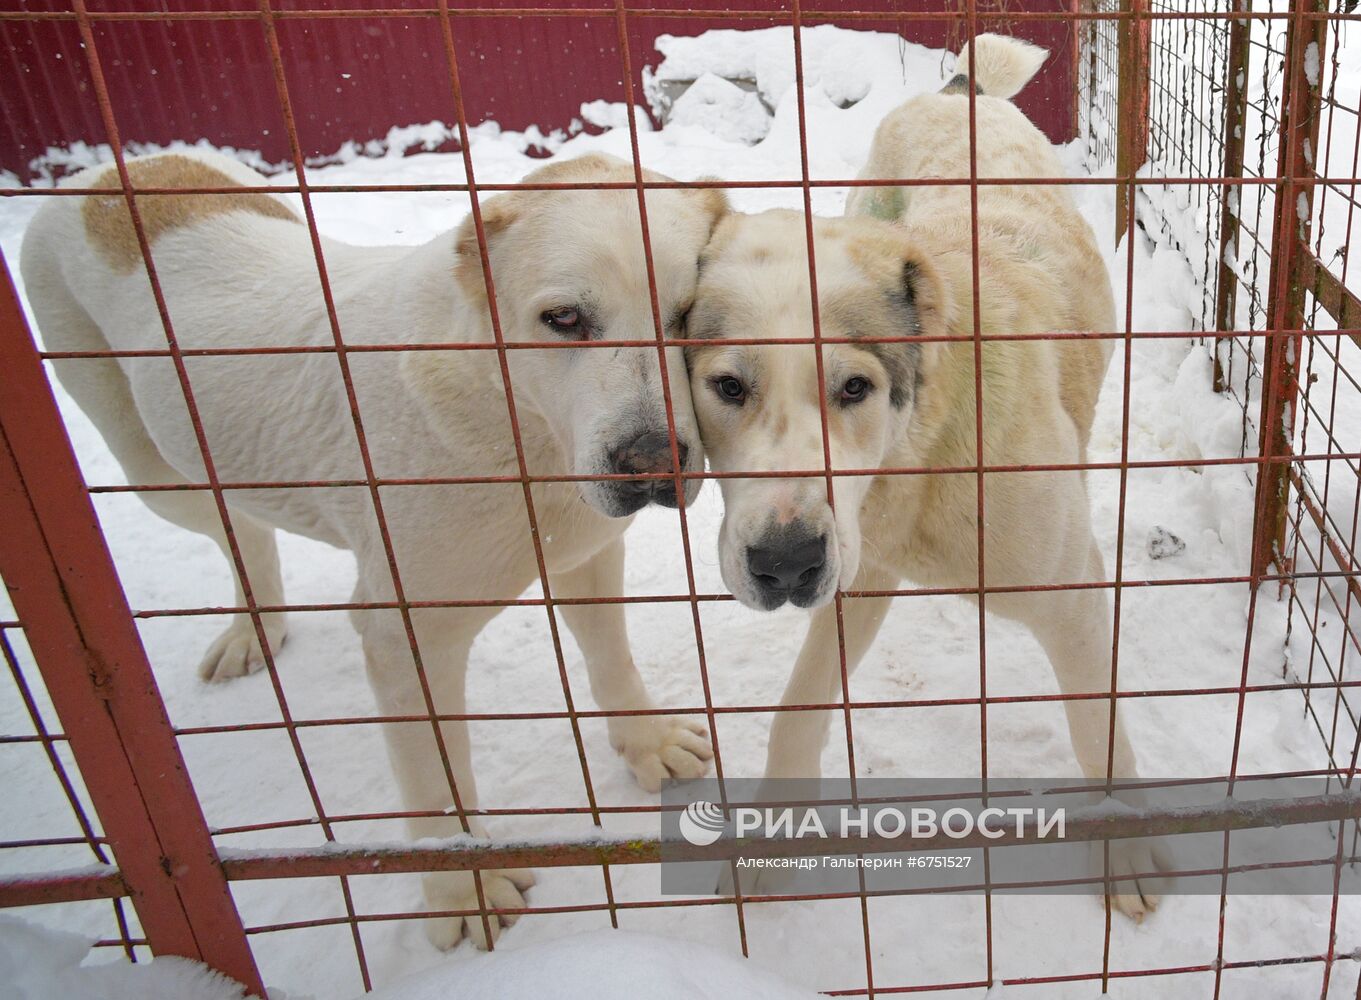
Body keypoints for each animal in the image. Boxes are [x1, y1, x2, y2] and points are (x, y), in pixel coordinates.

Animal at [21, 146, 724, 946]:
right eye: (564, 319)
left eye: (687, 316)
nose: (653, 462)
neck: (514, 417)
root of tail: (104, 176)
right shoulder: (405, 642)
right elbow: (437, 777)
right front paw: (464, 889)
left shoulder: (585, 552)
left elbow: (612, 662)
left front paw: (647, 743)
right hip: (153, 469)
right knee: (238, 526)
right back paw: (250, 627)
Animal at [691, 35, 1170, 919]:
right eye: (728, 387)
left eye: (855, 388)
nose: (784, 566)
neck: (921, 455)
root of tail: (955, 92)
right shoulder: (857, 566)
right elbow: (795, 708)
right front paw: (770, 835)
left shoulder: (1072, 597)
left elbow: (1098, 728)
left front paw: (1125, 846)